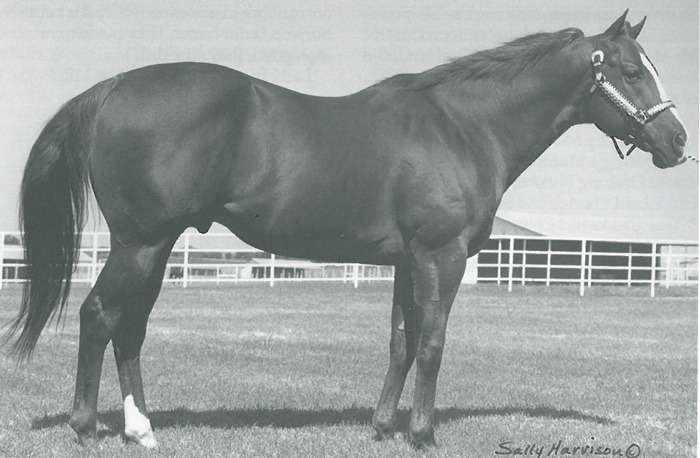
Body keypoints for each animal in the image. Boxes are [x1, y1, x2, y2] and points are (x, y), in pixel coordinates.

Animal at [7, 10, 688, 449]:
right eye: (631, 71)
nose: (678, 141)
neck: (462, 125)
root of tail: (112, 87)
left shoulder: (409, 261)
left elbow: (401, 344)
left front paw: (383, 428)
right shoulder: (442, 257)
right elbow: (433, 344)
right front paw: (423, 434)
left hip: (157, 245)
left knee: (130, 329)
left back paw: (142, 430)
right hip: (142, 244)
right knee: (99, 318)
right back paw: (87, 428)